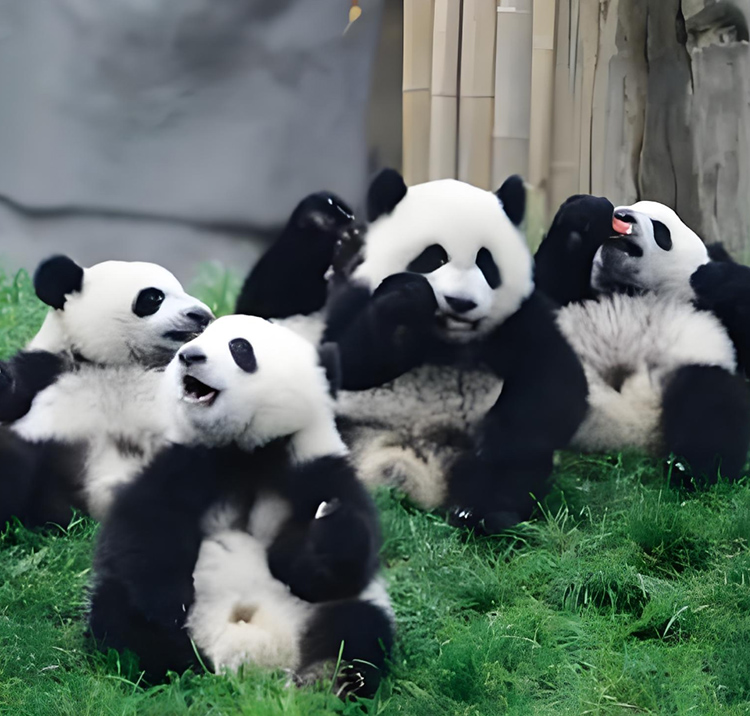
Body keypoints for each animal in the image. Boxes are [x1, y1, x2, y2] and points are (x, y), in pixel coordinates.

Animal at [88, 315, 393, 697]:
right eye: (199, 335)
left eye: (240, 347)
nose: (189, 356)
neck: (246, 449)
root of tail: (249, 661)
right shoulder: (183, 462)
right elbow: (145, 526)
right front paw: (170, 602)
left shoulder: (315, 468)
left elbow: (321, 566)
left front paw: (330, 524)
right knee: (120, 618)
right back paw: (181, 667)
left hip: (327, 614)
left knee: (357, 631)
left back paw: (326, 679)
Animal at [238, 169, 590, 534]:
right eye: (435, 257)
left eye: (486, 263)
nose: (461, 303)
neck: (444, 339)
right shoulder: (354, 297)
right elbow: (350, 361)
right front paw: (408, 298)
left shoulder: (520, 318)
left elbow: (556, 381)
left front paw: (494, 441)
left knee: (516, 470)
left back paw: (481, 513)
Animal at [534, 195, 750, 484]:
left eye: (660, 229)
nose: (623, 216)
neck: (637, 291)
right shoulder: (572, 295)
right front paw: (586, 212)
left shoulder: (718, 318)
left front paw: (711, 275)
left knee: (711, 402)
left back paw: (693, 473)